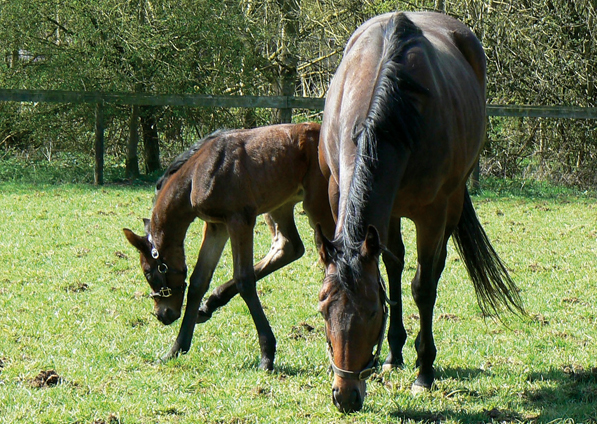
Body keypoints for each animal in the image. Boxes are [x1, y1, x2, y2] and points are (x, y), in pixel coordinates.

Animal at [124, 121, 336, 368]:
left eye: (148, 272)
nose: (162, 315)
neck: (196, 175)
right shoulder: (217, 226)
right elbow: (198, 282)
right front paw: (176, 348)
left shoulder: (239, 220)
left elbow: (244, 280)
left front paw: (267, 354)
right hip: (281, 205)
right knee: (289, 246)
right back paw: (210, 305)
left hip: (319, 206)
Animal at [316, 11, 520, 412]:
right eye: (323, 309)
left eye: (371, 312)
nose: (344, 395)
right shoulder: (338, 196)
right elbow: (391, 272)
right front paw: (396, 354)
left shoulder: (432, 212)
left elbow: (423, 288)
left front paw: (424, 373)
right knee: (393, 265)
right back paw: (394, 353)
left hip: (450, 204)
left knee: (432, 269)